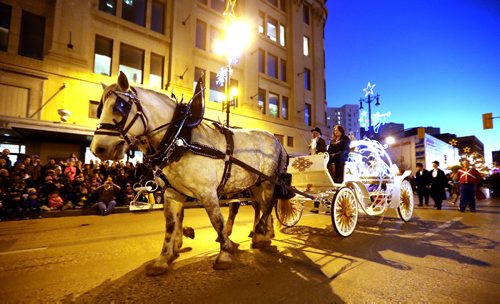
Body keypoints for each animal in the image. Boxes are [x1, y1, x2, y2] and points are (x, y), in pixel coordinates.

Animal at [92, 72, 292, 276]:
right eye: (100, 109)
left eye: (118, 108)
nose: (98, 148)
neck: (180, 138)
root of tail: (278, 141)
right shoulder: (172, 193)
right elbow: (171, 224)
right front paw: (163, 258)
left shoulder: (207, 192)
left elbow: (216, 221)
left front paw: (224, 253)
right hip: (254, 183)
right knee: (260, 205)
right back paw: (264, 233)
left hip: (269, 182)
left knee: (268, 204)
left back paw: (260, 234)